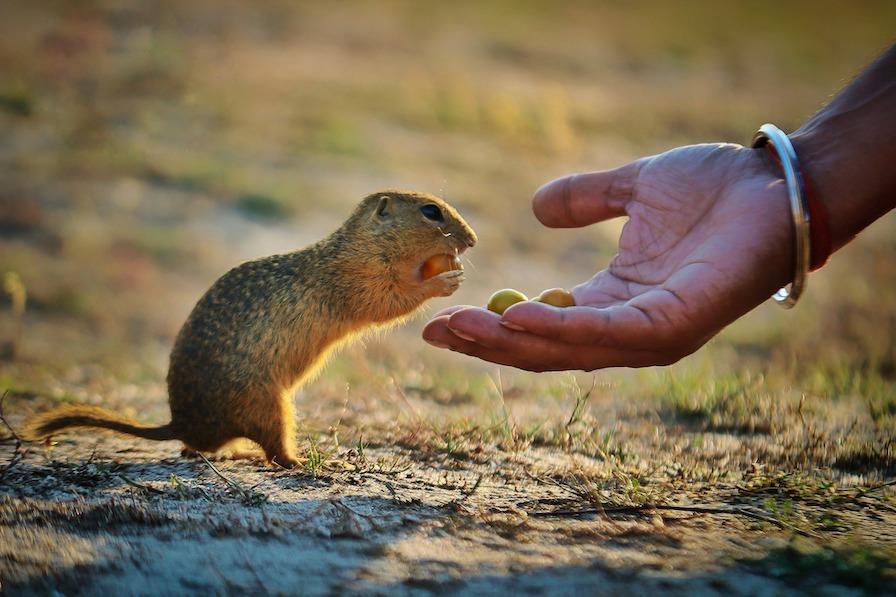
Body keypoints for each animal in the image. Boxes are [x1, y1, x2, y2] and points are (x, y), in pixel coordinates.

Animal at [22, 190, 476, 466]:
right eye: (431, 211)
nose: (471, 240)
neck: (359, 244)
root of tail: (180, 422)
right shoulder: (360, 279)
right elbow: (390, 299)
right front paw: (445, 280)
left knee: (198, 448)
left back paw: (229, 453)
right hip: (271, 405)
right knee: (273, 453)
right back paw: (304, 462)